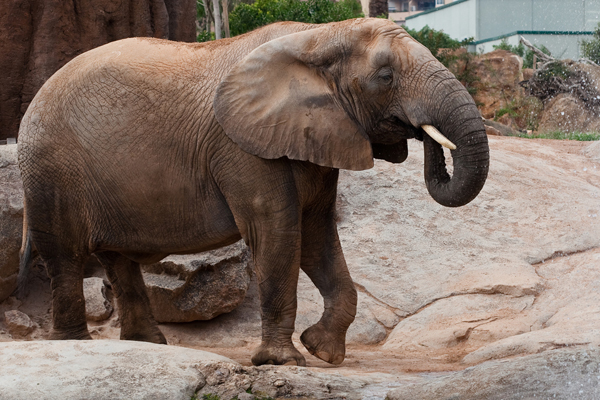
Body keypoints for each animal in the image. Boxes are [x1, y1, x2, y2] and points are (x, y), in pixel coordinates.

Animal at [17, 18, 488, 366]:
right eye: (386, 76)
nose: (425, 136)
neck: (319, 35)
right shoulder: (241, 147)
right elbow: (277, 232)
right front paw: (284, 362)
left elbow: (316, 235)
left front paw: (322, 351)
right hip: (49, 169)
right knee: (65, 256)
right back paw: (75, 345)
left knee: (117, 260)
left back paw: (145, 345)